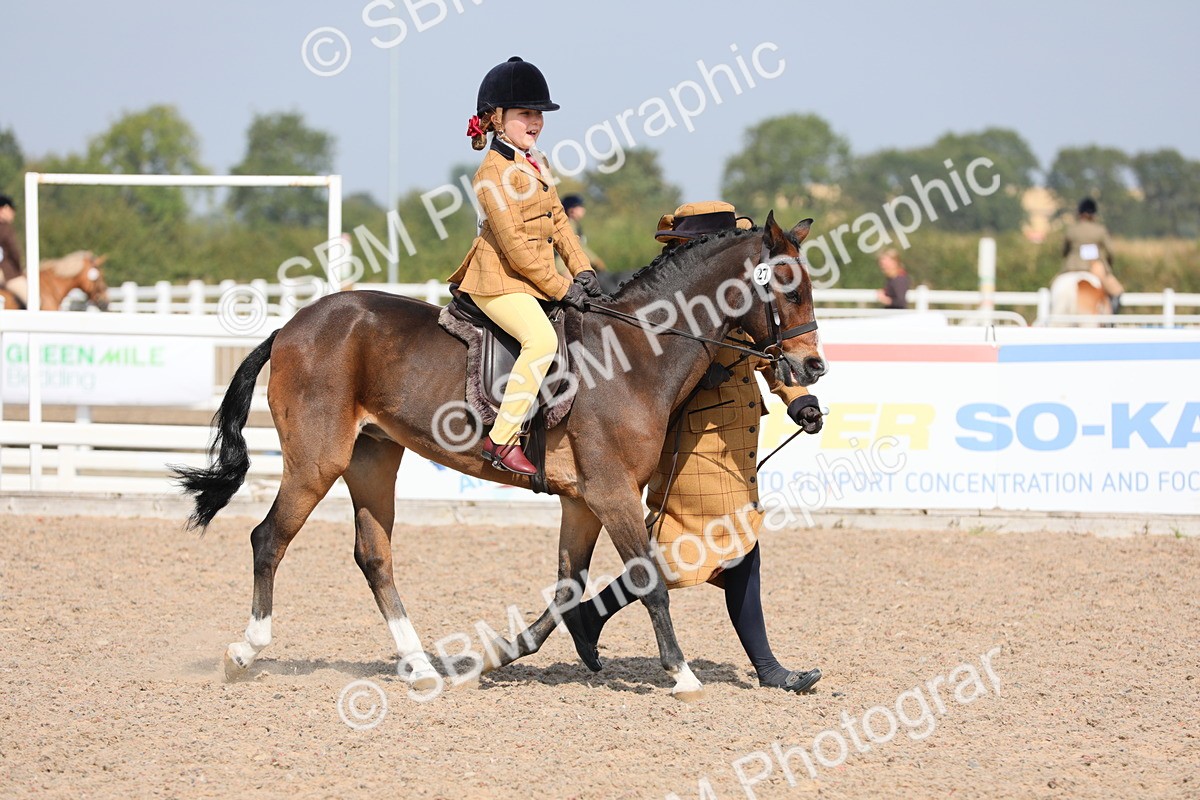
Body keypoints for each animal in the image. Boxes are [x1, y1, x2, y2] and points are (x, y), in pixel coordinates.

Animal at [175, 212, 825, 701]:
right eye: (787, 289)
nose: (813, 367)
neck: (637, 351)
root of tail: (291, 325)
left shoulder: (583, 501)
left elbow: (567, 587)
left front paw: (496, 657)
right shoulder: (611, 492)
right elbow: (649, 580)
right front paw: (682, 674)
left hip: (373, 459)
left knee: (373, 556)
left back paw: (421, 667)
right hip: (317, 462)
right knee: (268, 539)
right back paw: (245, 651)